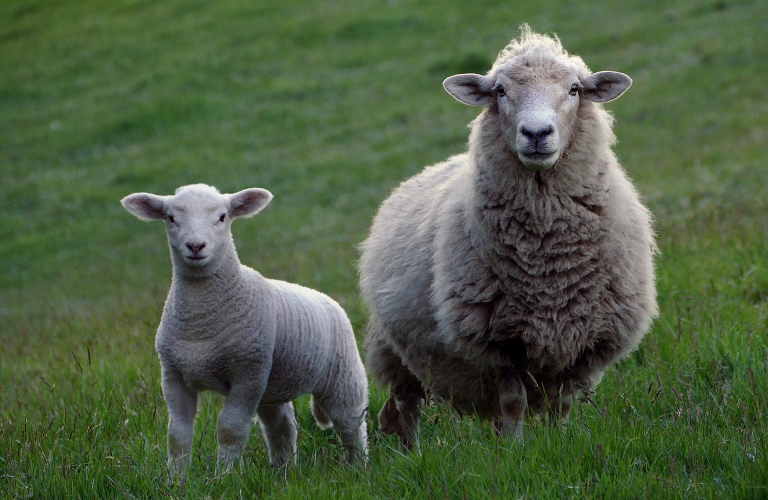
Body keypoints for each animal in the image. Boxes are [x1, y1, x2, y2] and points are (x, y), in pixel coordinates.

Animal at [121, 185, 368, 480]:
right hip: (272, 384)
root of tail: (327, 299)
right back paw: (283, 472)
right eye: (170, 218)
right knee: (281, 427)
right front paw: (175, 481)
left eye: (222, 217)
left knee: (351, 422)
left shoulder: (246, 374)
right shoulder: (173, 376)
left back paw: (358, 468)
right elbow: (177, 435)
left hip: (341, 374)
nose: (195, 246)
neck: (200, 323)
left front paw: (223, 478)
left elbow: (230, 429)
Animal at [358, 25, 656, 450]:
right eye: (500, 90)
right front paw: (516, 452)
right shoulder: (498, 342)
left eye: (574, 89)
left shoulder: (585, 341)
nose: (536, 133)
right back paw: (412, 454)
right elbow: (514, 402)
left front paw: (557, 444)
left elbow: (562, 404)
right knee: (406, 406)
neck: (548, 261)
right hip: (395, 350)